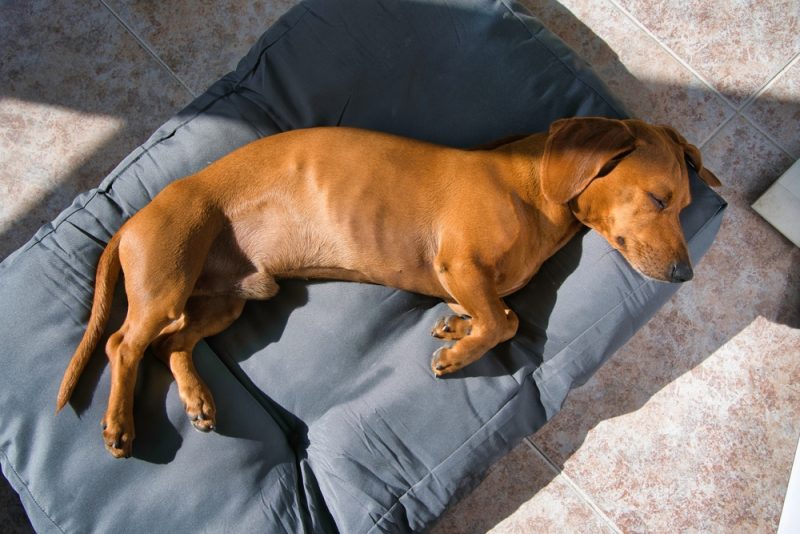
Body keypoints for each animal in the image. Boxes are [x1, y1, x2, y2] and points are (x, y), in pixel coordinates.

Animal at [54, 116, 720, 456]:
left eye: (685, 205)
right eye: (658, 199)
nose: (686, 275)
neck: (531, 188)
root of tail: (131, 221)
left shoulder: (470, 281)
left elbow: (493, 312)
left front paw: (455, 326)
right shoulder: (460, 264)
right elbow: (505, 319)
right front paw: (458, 353)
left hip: (230, 302)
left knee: (172, 346)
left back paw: (197, 399)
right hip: (167, 286)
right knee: (123, 345)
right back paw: (119, 427)